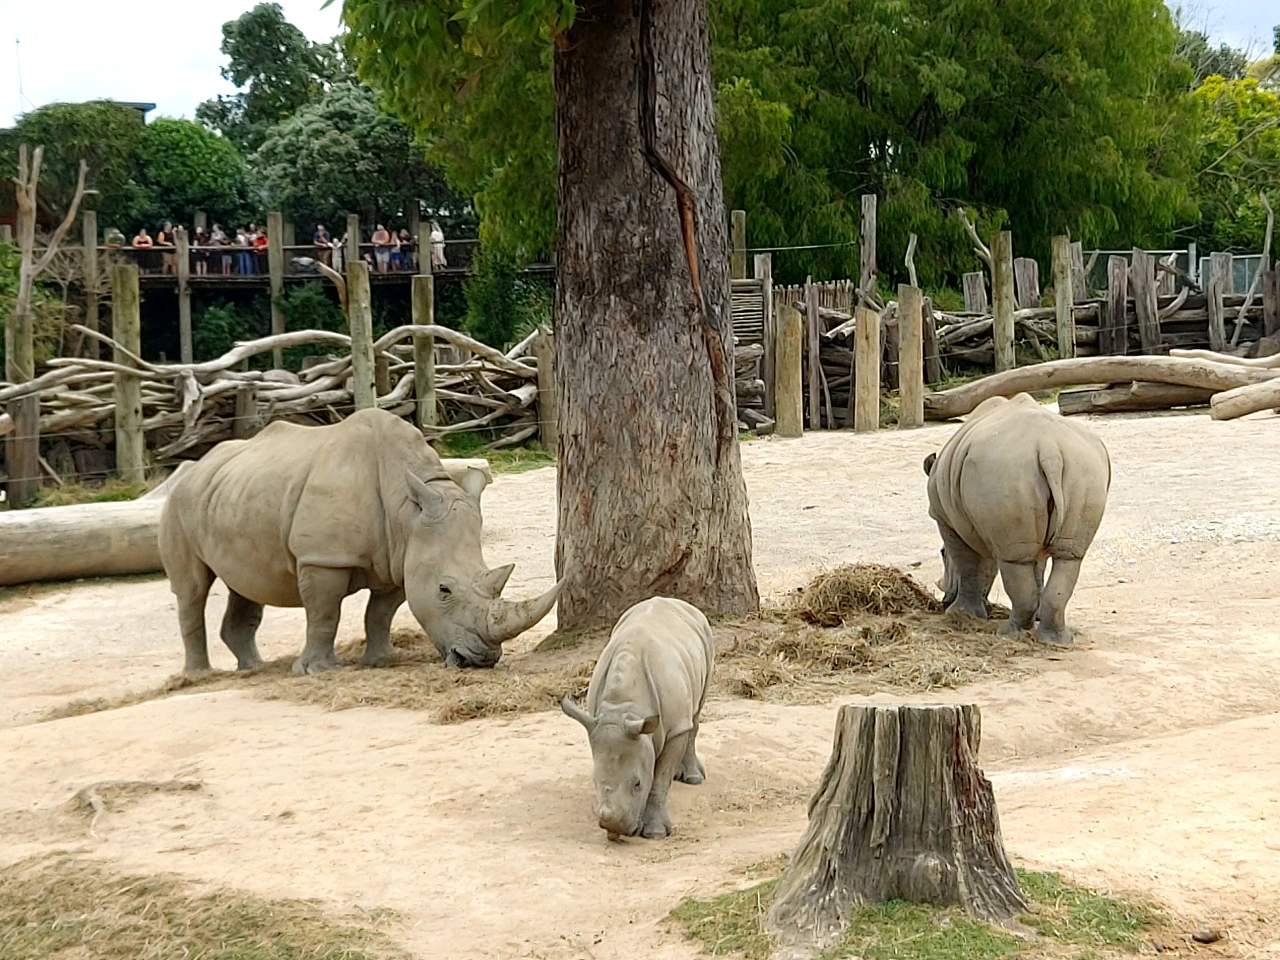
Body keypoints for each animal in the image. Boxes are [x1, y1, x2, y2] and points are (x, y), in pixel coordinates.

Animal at [158, 407, 561, 674]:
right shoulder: (323, 558)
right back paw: (201, 676)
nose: (480, 660)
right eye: (444, 590)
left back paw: (253, 668)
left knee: (246, 585)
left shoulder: (401, 558)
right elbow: (324, 614)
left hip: (231, 494)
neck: (406, 512)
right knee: (192, 589)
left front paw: (381, 659)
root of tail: (193, 467)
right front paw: (316, 671)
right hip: (178, 503)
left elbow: (380, 613)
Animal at [561, 597, 714, 840]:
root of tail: (679, 603)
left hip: (706, 636)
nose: (615, 828)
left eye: (637, 784)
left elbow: (660, 779)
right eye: (594, 781)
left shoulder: (674, 729)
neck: (624, 708)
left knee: (694, 717)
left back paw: (693, 779)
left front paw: (655, 834)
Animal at [923, 392, 1110, 645]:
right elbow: (1033, 567)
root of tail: (1049, 448)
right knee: (1068, 557)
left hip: (1003, 471)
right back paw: (1056, 640)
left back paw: (1009, 633)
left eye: (942, 554)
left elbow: (968, 564)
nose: (943, 601)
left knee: (1015, 560)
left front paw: (961, 614)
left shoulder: (946, 518)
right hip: (1082, 469)